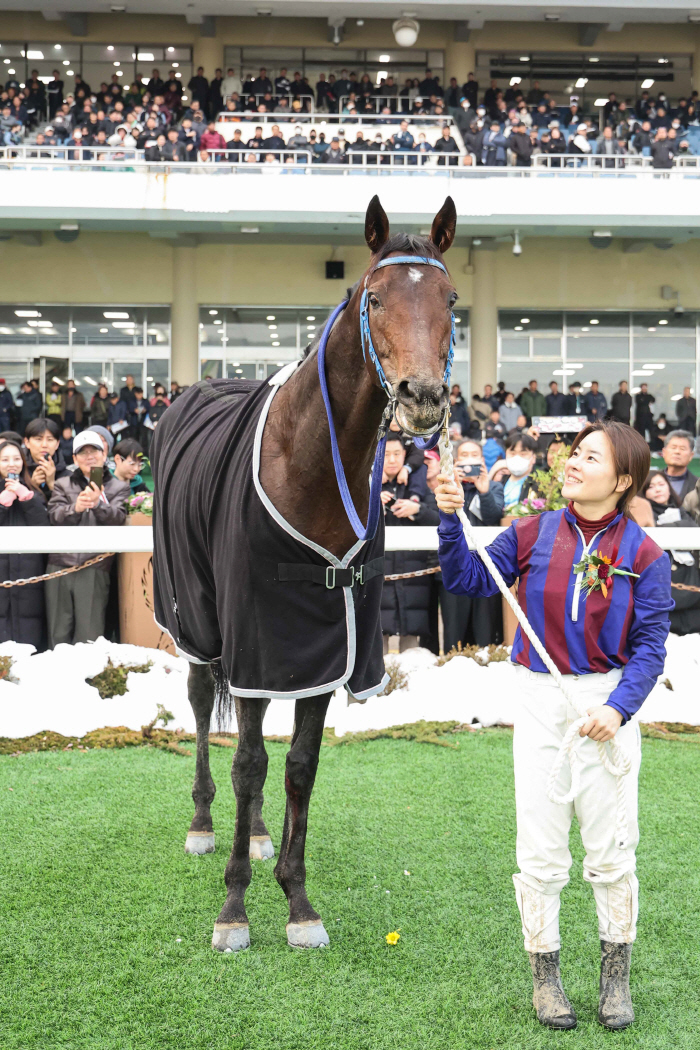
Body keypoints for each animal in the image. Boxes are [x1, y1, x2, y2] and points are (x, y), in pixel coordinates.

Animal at [155, 197, 457, 953]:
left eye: (449, 300)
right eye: (375, 298)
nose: (422, 397)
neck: (311, 465)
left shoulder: (325, 644)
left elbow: (297, 766)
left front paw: (296, 899)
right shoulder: (258, 637)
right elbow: (247, 763)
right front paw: (235, 908)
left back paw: (260, 835)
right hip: (197, 616)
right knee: (202, 705)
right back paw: (203, 825)